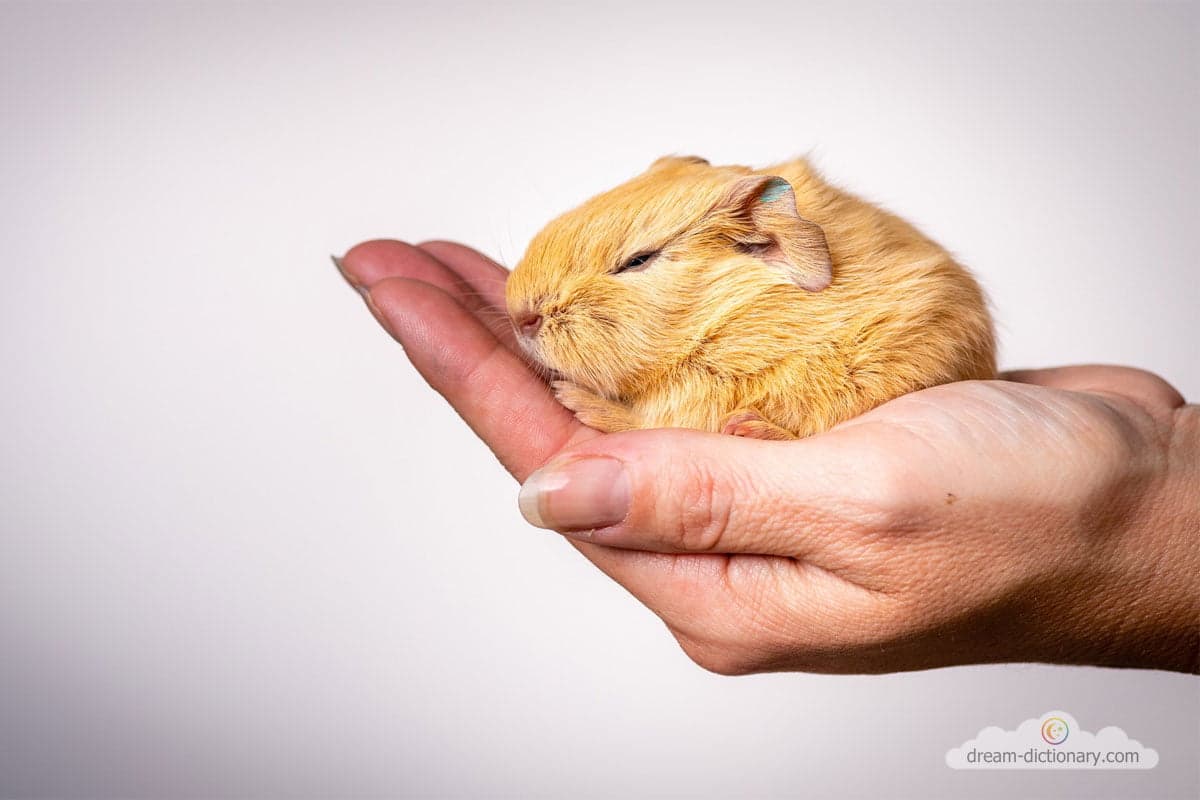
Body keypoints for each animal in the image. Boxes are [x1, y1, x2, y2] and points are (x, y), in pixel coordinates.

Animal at [505, 155, 996, 439]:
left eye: (638, 260)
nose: (520, 316)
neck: (735, 317)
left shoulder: (702, 391)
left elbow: (653, 419)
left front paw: (570, 397)